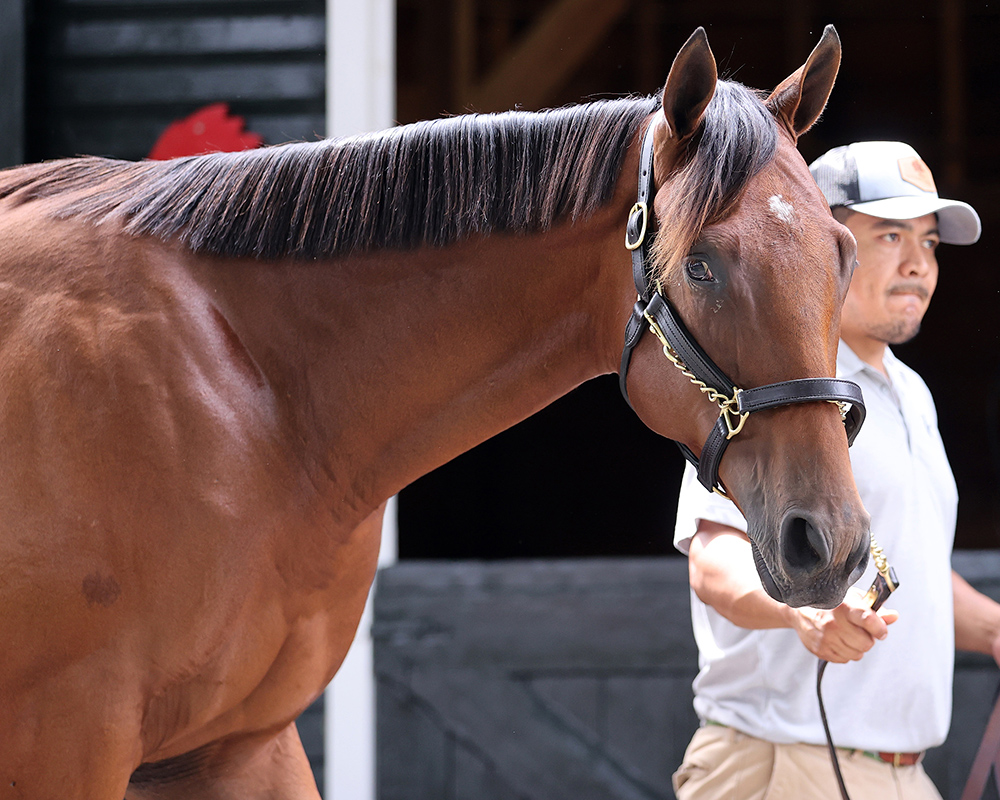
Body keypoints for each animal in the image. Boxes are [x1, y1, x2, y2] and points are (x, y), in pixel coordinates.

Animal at [0, 25, 868, 800]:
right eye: (701, 265)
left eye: (842, 253)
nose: (830, 543)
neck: (260, 399)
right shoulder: (66, 746)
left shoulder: (237, 749)